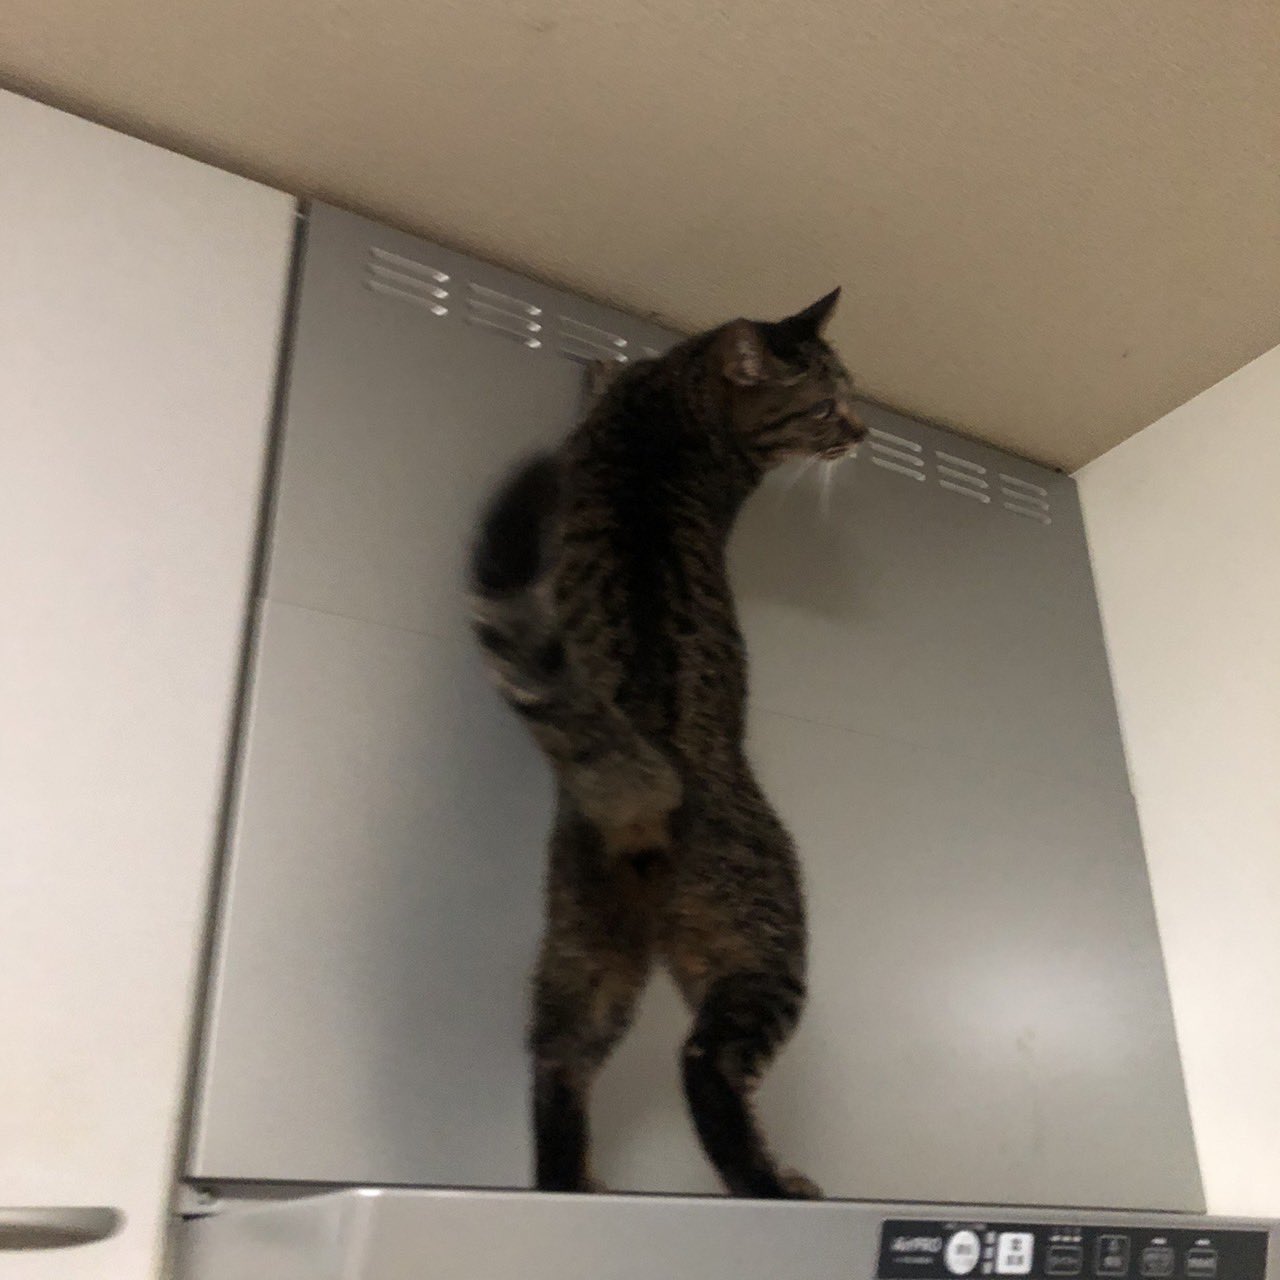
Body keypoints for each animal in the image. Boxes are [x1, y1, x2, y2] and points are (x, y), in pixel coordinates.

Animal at [469, 289, 863, 1199]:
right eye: (827, 406)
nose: (864, 432)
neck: (682, 404)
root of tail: (646, 789)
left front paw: (597, 365)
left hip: (592, 941)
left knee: (586, 1060)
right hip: (735, 936)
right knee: (688, 1060)